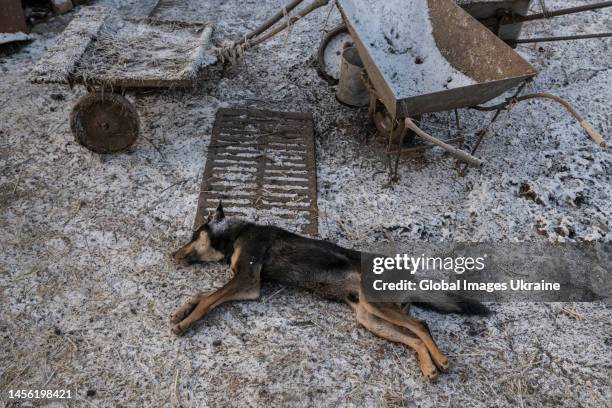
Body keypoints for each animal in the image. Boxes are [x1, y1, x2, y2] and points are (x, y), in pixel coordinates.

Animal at [171, 203, 488, 380]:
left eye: (192, 237)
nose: (172, 255)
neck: (236, 234)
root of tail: (406, 273)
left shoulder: (248, 282)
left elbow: (208, 300)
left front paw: (185, 323)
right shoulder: (241, 283)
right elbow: (202, 295)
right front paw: (181, 310)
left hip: (378, 306)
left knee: (421, 325)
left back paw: (441, 360)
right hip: (370, 317)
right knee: (412, 337)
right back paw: (428, 366)